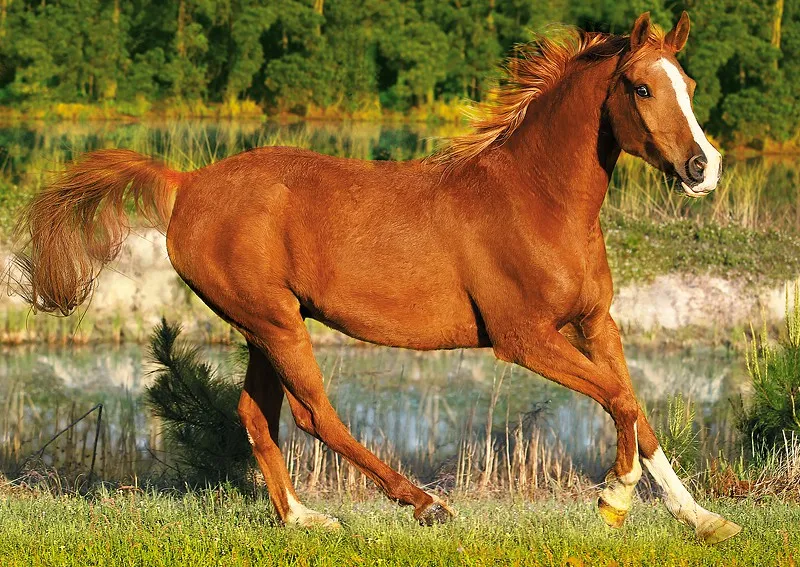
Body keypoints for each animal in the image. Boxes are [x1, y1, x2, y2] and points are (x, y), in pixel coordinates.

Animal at [10, 11, 740, 543]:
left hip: (263, 326)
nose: (704, 168)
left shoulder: (595, 322)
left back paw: (303, 517)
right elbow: (619, 400)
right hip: (276, 323)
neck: (536, 200)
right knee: (316, 415)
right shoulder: (525, 338)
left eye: (688, 85)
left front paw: (704, 519)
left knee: (257, 414)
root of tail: (185, 184)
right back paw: (425, 504)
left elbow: (637, 408)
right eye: (641, 87)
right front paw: (613, 497)